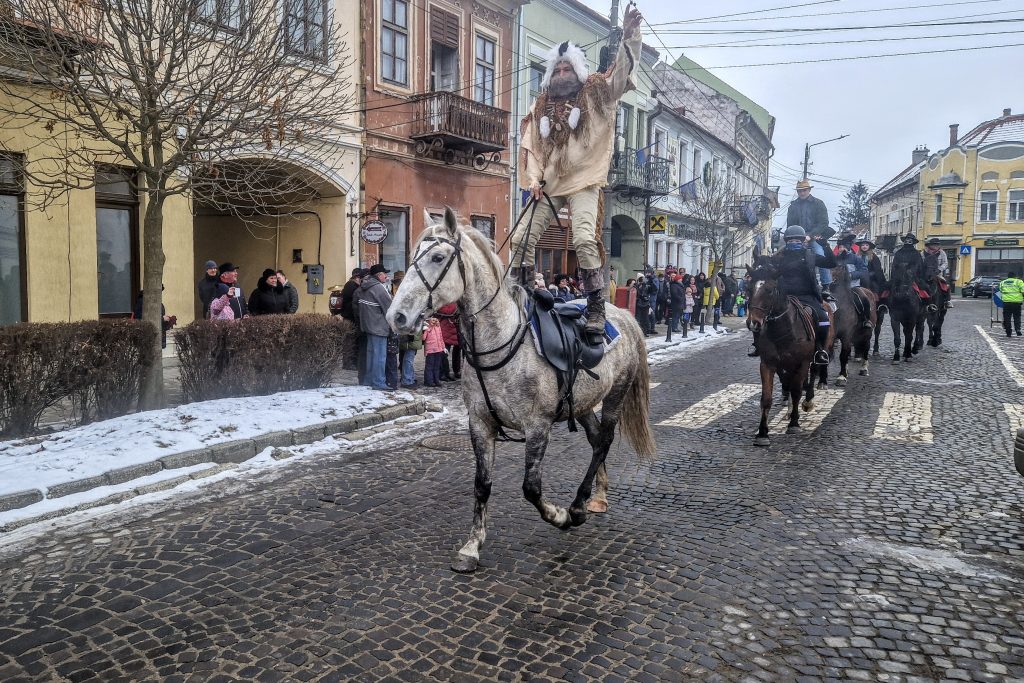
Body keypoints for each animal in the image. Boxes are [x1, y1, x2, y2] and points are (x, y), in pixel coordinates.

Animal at [385, 210, 655, 573]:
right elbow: (482, 485)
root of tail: (623, 315)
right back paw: (597, 496)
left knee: (604, 442)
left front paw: (560, 516)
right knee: (596, 439)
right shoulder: (480, 423)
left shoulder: (538, 426)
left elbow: (531, 487)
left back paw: (579, 505)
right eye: (413, 254)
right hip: (583, 406)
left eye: (438, 257)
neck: (501, 342)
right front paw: (471, 547)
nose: (396, 316)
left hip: (615, 397)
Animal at [749, 264, 835, 448]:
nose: (753, 322)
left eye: (769, 290)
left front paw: (794, 423)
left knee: (813, 373)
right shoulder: (768, 364)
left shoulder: (802, 363)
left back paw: (808, 401)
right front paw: (762, 433)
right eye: (749, 288)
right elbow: (766, 398)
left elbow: (796, 391)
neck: (783, 329)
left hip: (817, 353)